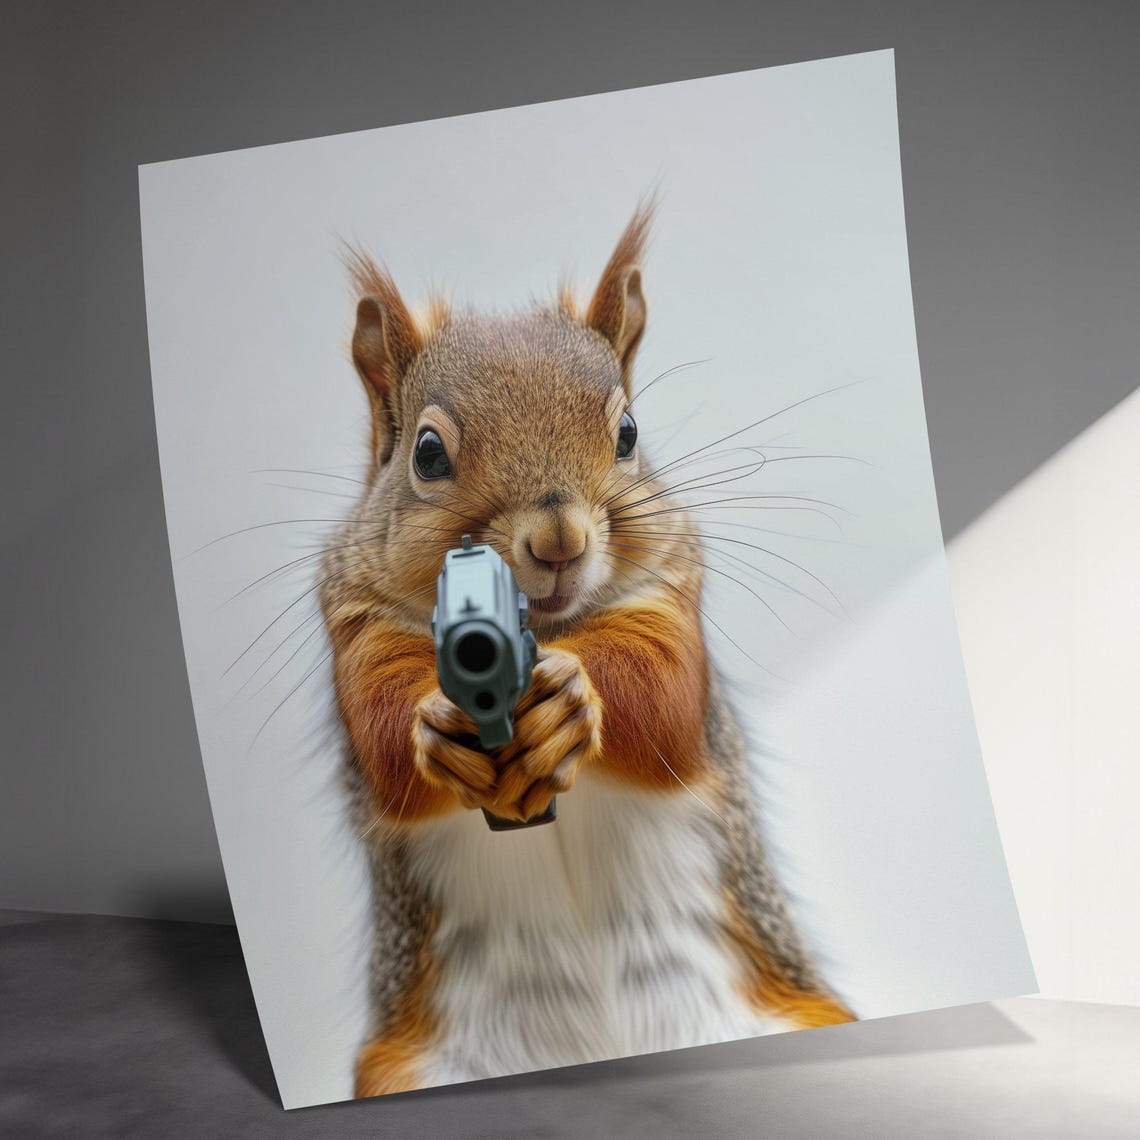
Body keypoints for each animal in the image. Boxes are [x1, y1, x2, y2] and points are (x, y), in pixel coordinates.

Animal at [319, 204, 854, 1098]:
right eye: (427, 453)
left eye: (629, 432)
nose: (559, 539)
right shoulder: (353, 624)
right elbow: (381, 734)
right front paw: (435, 727)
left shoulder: (671, 597)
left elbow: (665, 701)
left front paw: (573, 701)